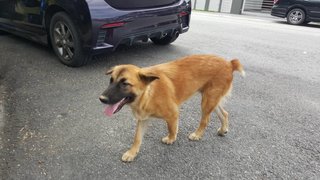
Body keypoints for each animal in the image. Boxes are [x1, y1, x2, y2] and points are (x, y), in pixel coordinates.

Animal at [100, 54, 245, 162]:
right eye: (111, 80)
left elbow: (171, 128)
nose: (101, 99)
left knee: (205, 120)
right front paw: (132, 153)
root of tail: (229, 63)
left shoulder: (173, 113)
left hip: (207, 101)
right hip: (212, 100)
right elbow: (137, 138)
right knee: (224, 113)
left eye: (125, 84)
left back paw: (197, 134)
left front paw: (171, 138)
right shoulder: (143, 119)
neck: (148, 93)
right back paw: (223, 129)